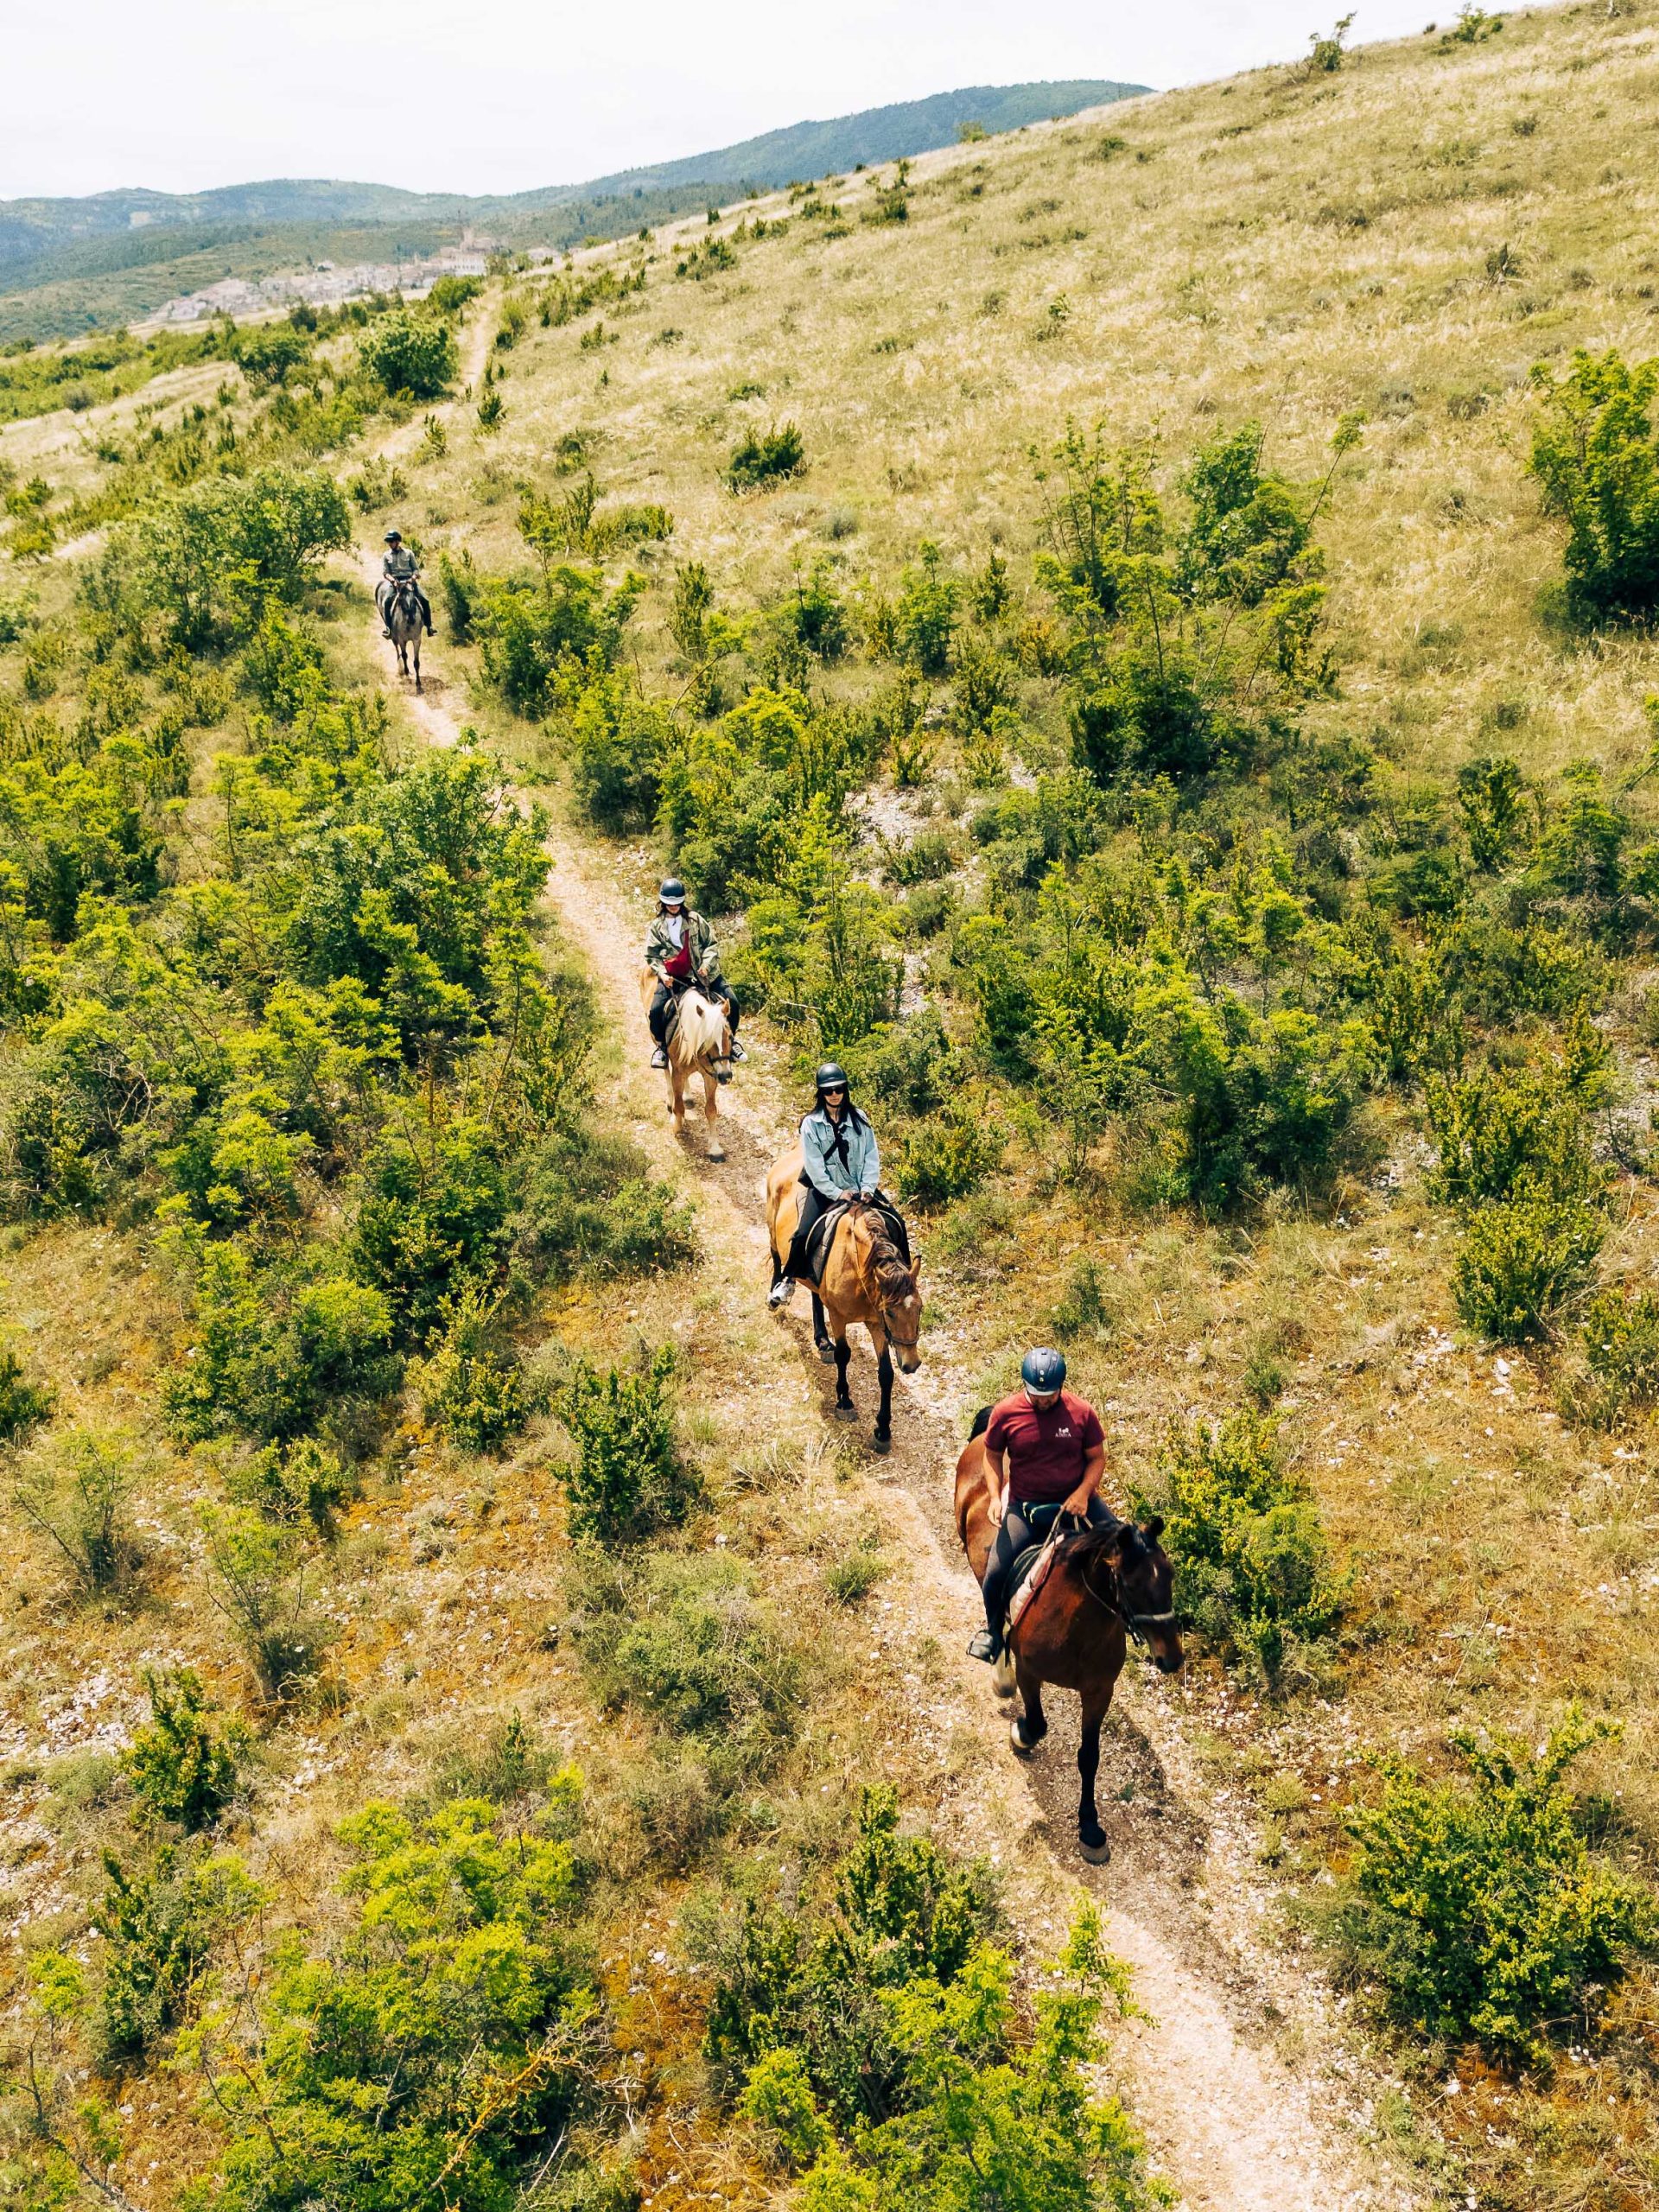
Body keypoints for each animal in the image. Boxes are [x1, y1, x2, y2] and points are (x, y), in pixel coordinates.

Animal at [382, 575, 424, 693]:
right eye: (400, 599)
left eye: (414, 598)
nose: (412, 619)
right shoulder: (402, 640)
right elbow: (405, 656)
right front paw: (406, 673)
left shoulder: (417, 640)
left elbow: (416, 662)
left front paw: (418, 683)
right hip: (394, 636)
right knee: (397, 649)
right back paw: (400, 668)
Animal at [640, 971, 732, 1158]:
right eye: (707, 1038)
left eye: (729, 1036)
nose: (725, 1076)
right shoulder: (678, 1072)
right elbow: (679, 1107)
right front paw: (676, 1125)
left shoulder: (710, 1075)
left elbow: (711, 1110)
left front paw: (715, 1148)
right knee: (666, 1071)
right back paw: (670, 1101)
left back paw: (688, 1096)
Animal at [765, 1150, 922, 1454]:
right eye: (891, 1313)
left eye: (920, 1309)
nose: (911, 1364)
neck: (860, 1268)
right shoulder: (841, 1316)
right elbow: (844, 1355)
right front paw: (845, 1402)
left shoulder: (875, 1323)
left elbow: (886, 1374)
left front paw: (883, 1430)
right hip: (774, 1236)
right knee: (779, 1261)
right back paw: (776, 1296)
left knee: (815, 1293)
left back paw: (822, 1340)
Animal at [955, 1416, 1183, 1862]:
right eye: (1131, 1585)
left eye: (1169, 1575)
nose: (1172, 1659)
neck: (1078, 1631)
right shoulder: (1030, 1672)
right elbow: (1038, 1723)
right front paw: (1021, 1735)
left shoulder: (1098, 1691)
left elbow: (1089, 1756)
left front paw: (1090, 1827)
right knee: (993, 1609)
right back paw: (997, 1668)